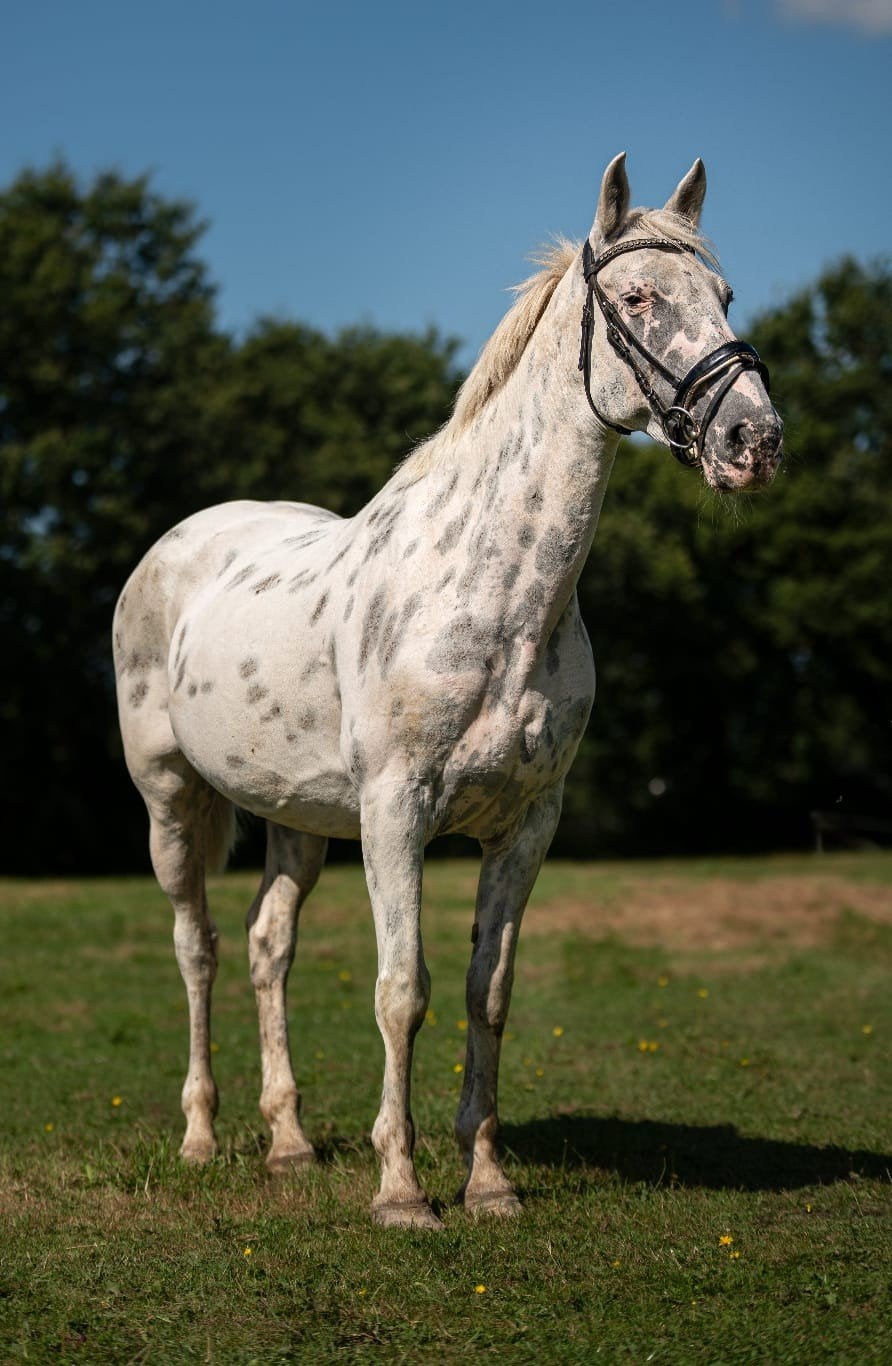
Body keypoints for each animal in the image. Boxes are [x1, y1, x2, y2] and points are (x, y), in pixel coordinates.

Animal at [113, 154, 783, 1230]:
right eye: (640, 297)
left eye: (723, 296)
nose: (753, 440)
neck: (493, 595)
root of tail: (176, 544)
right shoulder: (397, 815)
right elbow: (403, 990)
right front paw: (400, 1189)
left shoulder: (527, 824)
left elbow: (486, 991)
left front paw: (488, 1180)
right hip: (170, 801)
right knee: (198, 948)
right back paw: (203, 1137)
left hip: (296, 819)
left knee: (266, 946)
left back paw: (290, 1144)